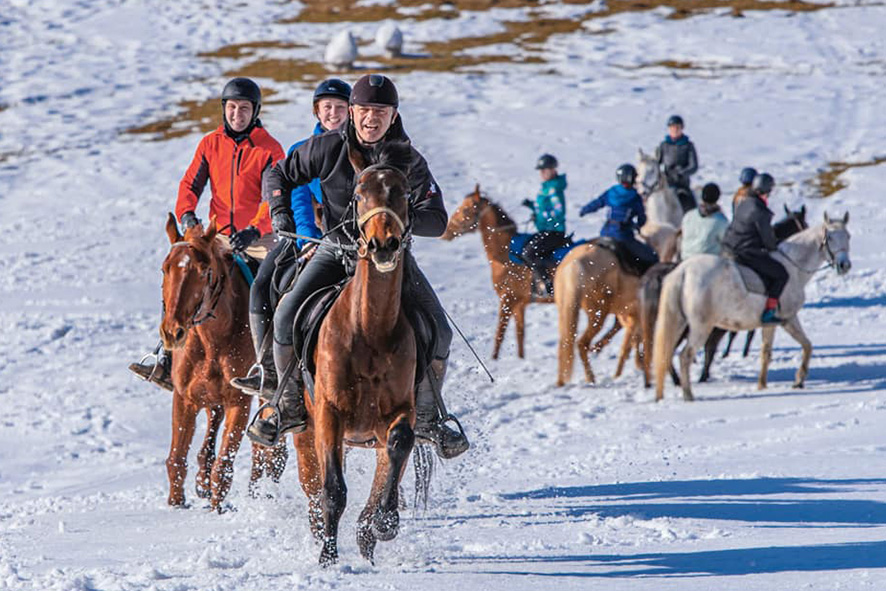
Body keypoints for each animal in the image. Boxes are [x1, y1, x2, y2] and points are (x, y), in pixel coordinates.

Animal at [294, 141, 424, 568]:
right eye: (358, 194)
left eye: (403, 193)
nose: (383, 244)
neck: (370, 330)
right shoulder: (329, 414)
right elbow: (333, 491)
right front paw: (328, 560)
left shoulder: (402, 412)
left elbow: (399, 444)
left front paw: (383, 523)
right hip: (306, 432)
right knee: (314, 487)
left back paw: (370, 536)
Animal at [652, 210, 852, 400]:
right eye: (830, 237)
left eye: (848, 236)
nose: (844, 265)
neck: (793, 266)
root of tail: (683, 271)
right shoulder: (787, 319)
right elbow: (804, 346)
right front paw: (798, 379)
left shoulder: (774, 323)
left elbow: (774, 351)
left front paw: (764, 385)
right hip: (701, 327)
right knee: (685, 356)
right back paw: (688, 395)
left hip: (679, 323)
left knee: (667, 354)